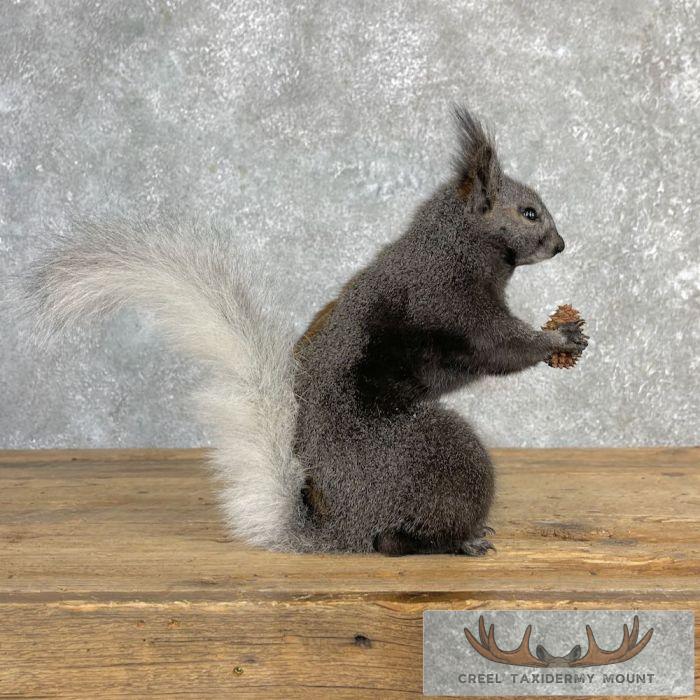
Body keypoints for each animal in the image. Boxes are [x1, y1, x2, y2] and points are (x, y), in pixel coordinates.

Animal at [22, 107, 588, 556]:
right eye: (529, 212)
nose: (560, 245)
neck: (453, 243)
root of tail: (346, 528)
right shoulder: (447, 298)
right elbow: (499, 345)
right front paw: (559, 340)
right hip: (437, 462)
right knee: (395, 541)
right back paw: (459, 541)